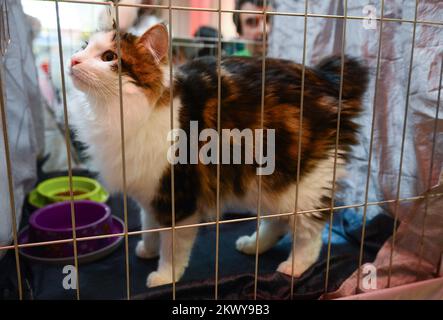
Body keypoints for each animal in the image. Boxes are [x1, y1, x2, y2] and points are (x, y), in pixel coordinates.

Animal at [68, 23, 368, 288]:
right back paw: (253, 245)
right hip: (269, 184)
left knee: (310, 232)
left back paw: (294, 267)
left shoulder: (178, 197)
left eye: (109, 57)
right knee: (278, 220)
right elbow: (148, 224)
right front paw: (147, 249)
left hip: (302, 184)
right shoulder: (150, 191)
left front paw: (165, 276)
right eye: (84, 46)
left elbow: (172, 248)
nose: (72, 59)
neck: (114, 115)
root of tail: (328, 79)